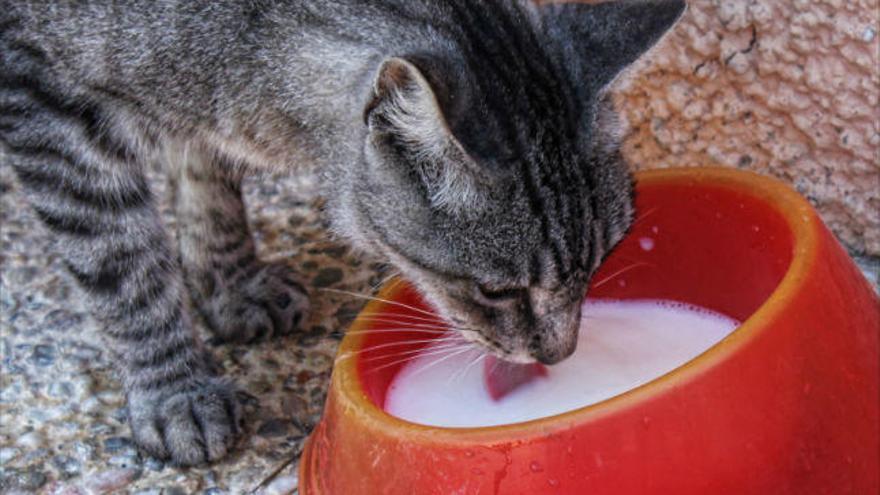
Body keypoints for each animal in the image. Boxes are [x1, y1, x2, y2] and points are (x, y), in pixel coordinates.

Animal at [0, 0, 688, 464]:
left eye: (600, 262)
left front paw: (229, 282)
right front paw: (175, 391)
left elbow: (204, 170)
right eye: (497, 292)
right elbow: (124, 265)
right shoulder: (45, 97)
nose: (558, 356)